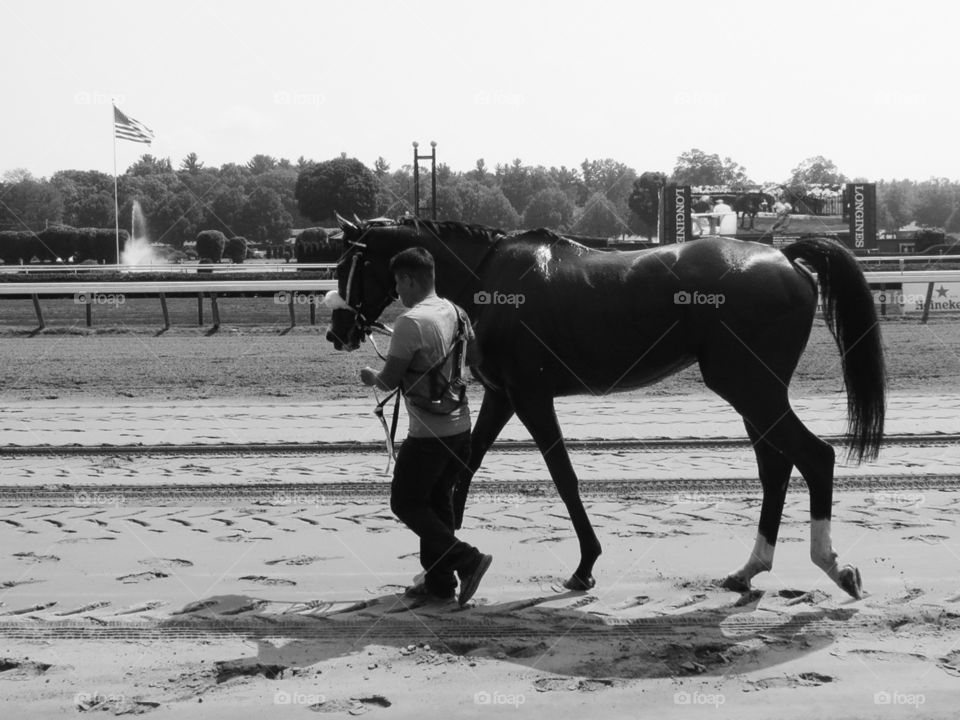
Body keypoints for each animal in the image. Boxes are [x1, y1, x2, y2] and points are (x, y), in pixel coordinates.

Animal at [325, 216, 885, 599]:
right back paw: (749, 569)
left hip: (749, 387)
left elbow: (563, 476)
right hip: (754, 391)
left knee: (814, 457)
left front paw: (584, 565)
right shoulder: (503, 396)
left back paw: (833, 564)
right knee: (776, 466)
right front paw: (439, 569)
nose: (338, 331)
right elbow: (465, 465)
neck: (491, 278)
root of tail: (786, 258)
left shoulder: (530, 396)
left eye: (351, 264)